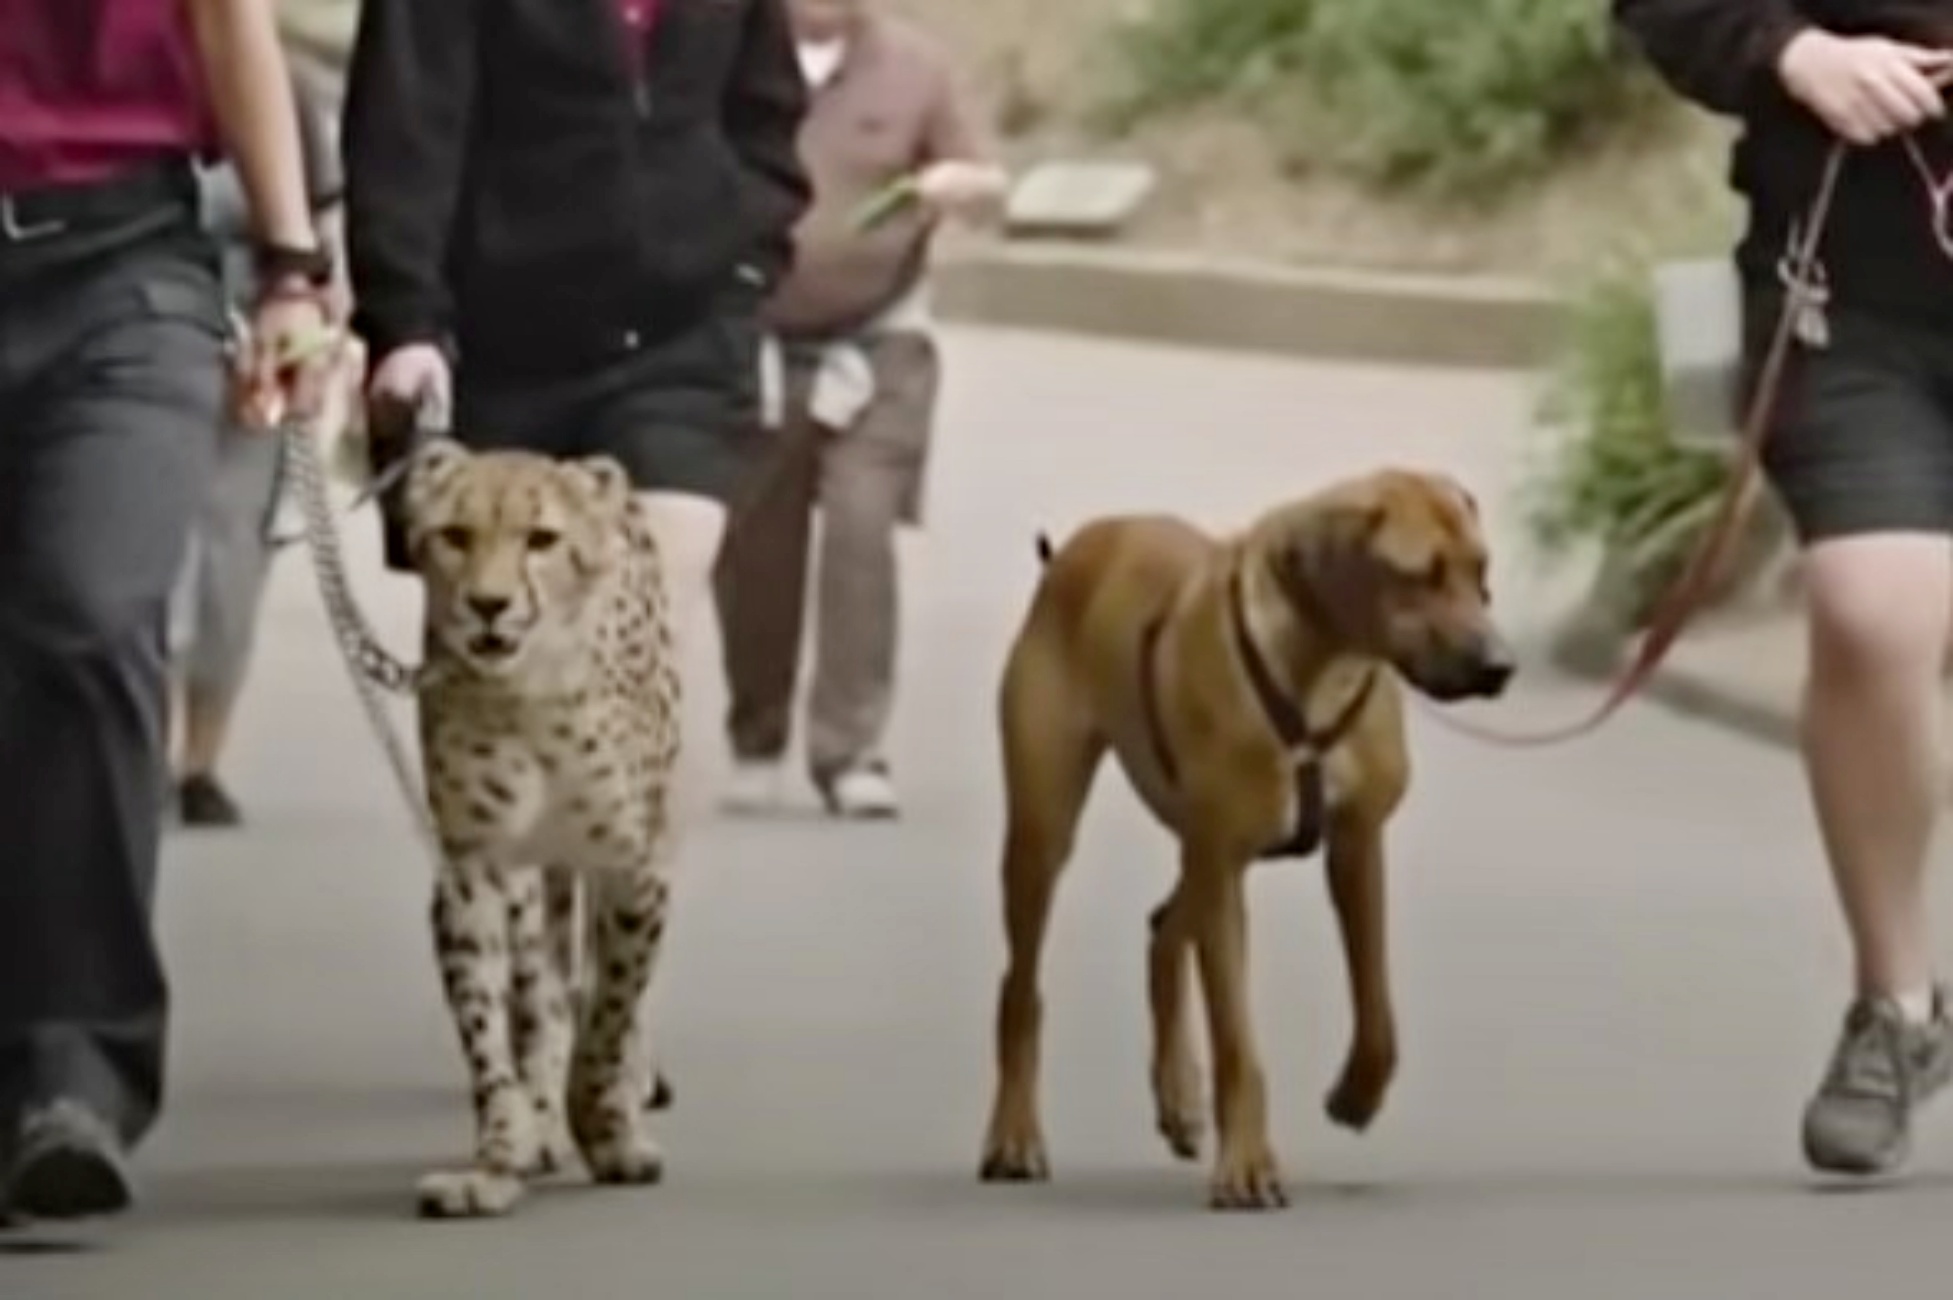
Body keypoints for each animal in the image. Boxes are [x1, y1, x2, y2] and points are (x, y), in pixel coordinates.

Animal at [396, 437, 679, 1218]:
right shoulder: (472, 868)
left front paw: (609, 1134)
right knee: (540, 993)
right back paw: (543, 1123)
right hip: (531, 884)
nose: (488, 605)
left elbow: (610, 1010)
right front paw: (498, 1159)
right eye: (455, 536)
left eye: (542, 540)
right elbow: (490, 1028)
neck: (526, 694)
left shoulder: (631, 868)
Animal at [976, 462, 1507, 1202]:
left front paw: (1356, 1093)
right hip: (1044, 830)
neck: (1321, 663)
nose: (1501, 666)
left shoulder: (1356, 843)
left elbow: (1377, 1008)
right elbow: (1237, 1042)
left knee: (1163, 928)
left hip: (1195, 845)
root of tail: (1074, 551)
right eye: (1417, 575)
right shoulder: (1224, 865)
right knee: (1021, 991)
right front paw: (1248, 1165)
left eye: (1479, 569)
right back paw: (1014, 1135)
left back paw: (1178, 1093)